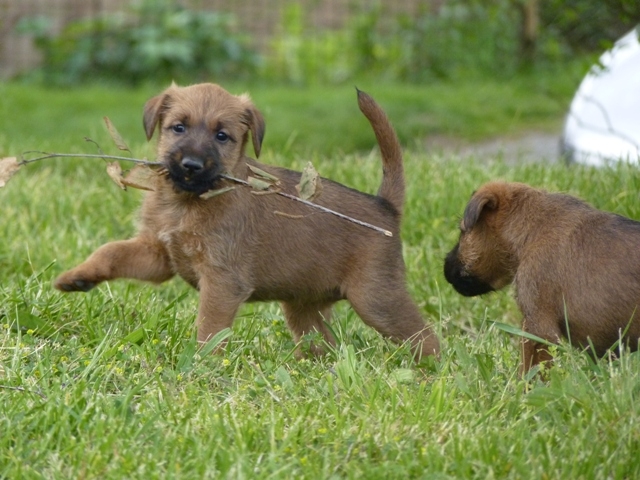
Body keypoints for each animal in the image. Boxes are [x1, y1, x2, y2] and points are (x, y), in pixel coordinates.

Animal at [54, 82, 440, 360]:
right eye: (178, 127)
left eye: (222, 136)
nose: (191, 165)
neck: (189, 202)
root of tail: (384, 207)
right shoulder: (158, 254)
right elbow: (111, 251)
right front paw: (77, 277)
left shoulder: (223, 281)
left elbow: (210, 328)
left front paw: (202, 365)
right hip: (303, 307)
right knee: (325, 344)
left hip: (376, 300)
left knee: (427, 338)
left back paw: (434, 373)